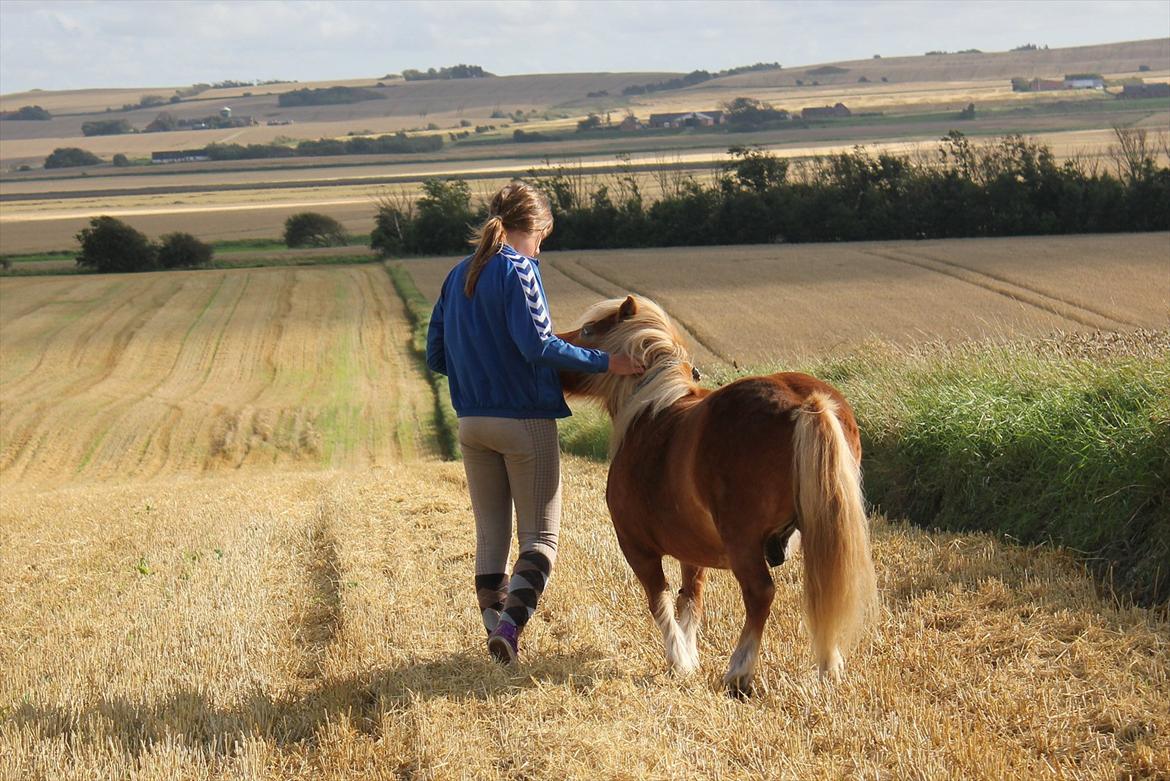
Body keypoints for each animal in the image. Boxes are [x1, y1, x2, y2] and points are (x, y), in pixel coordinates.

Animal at [559, 295, 879, 692]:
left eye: (589, 331)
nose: (554, 345)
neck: (649, 411)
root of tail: (806, 402)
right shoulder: (691, 549)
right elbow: (690, 600)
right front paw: (689, 655)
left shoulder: (637, 547)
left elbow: (660, 600)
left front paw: (679, 659)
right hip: (821, 527)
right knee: (826, 588)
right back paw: (829, 666)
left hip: (744, 543)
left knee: (760, 593)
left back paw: (739, 672)